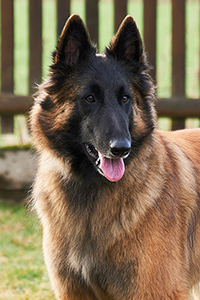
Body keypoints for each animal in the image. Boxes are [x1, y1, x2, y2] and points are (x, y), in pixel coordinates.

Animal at [29, 14, 200, 300]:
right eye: (89, 98)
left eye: (125, 99)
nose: (121, 148)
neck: (91, 190)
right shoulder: (74, 291)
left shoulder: (155, 290)